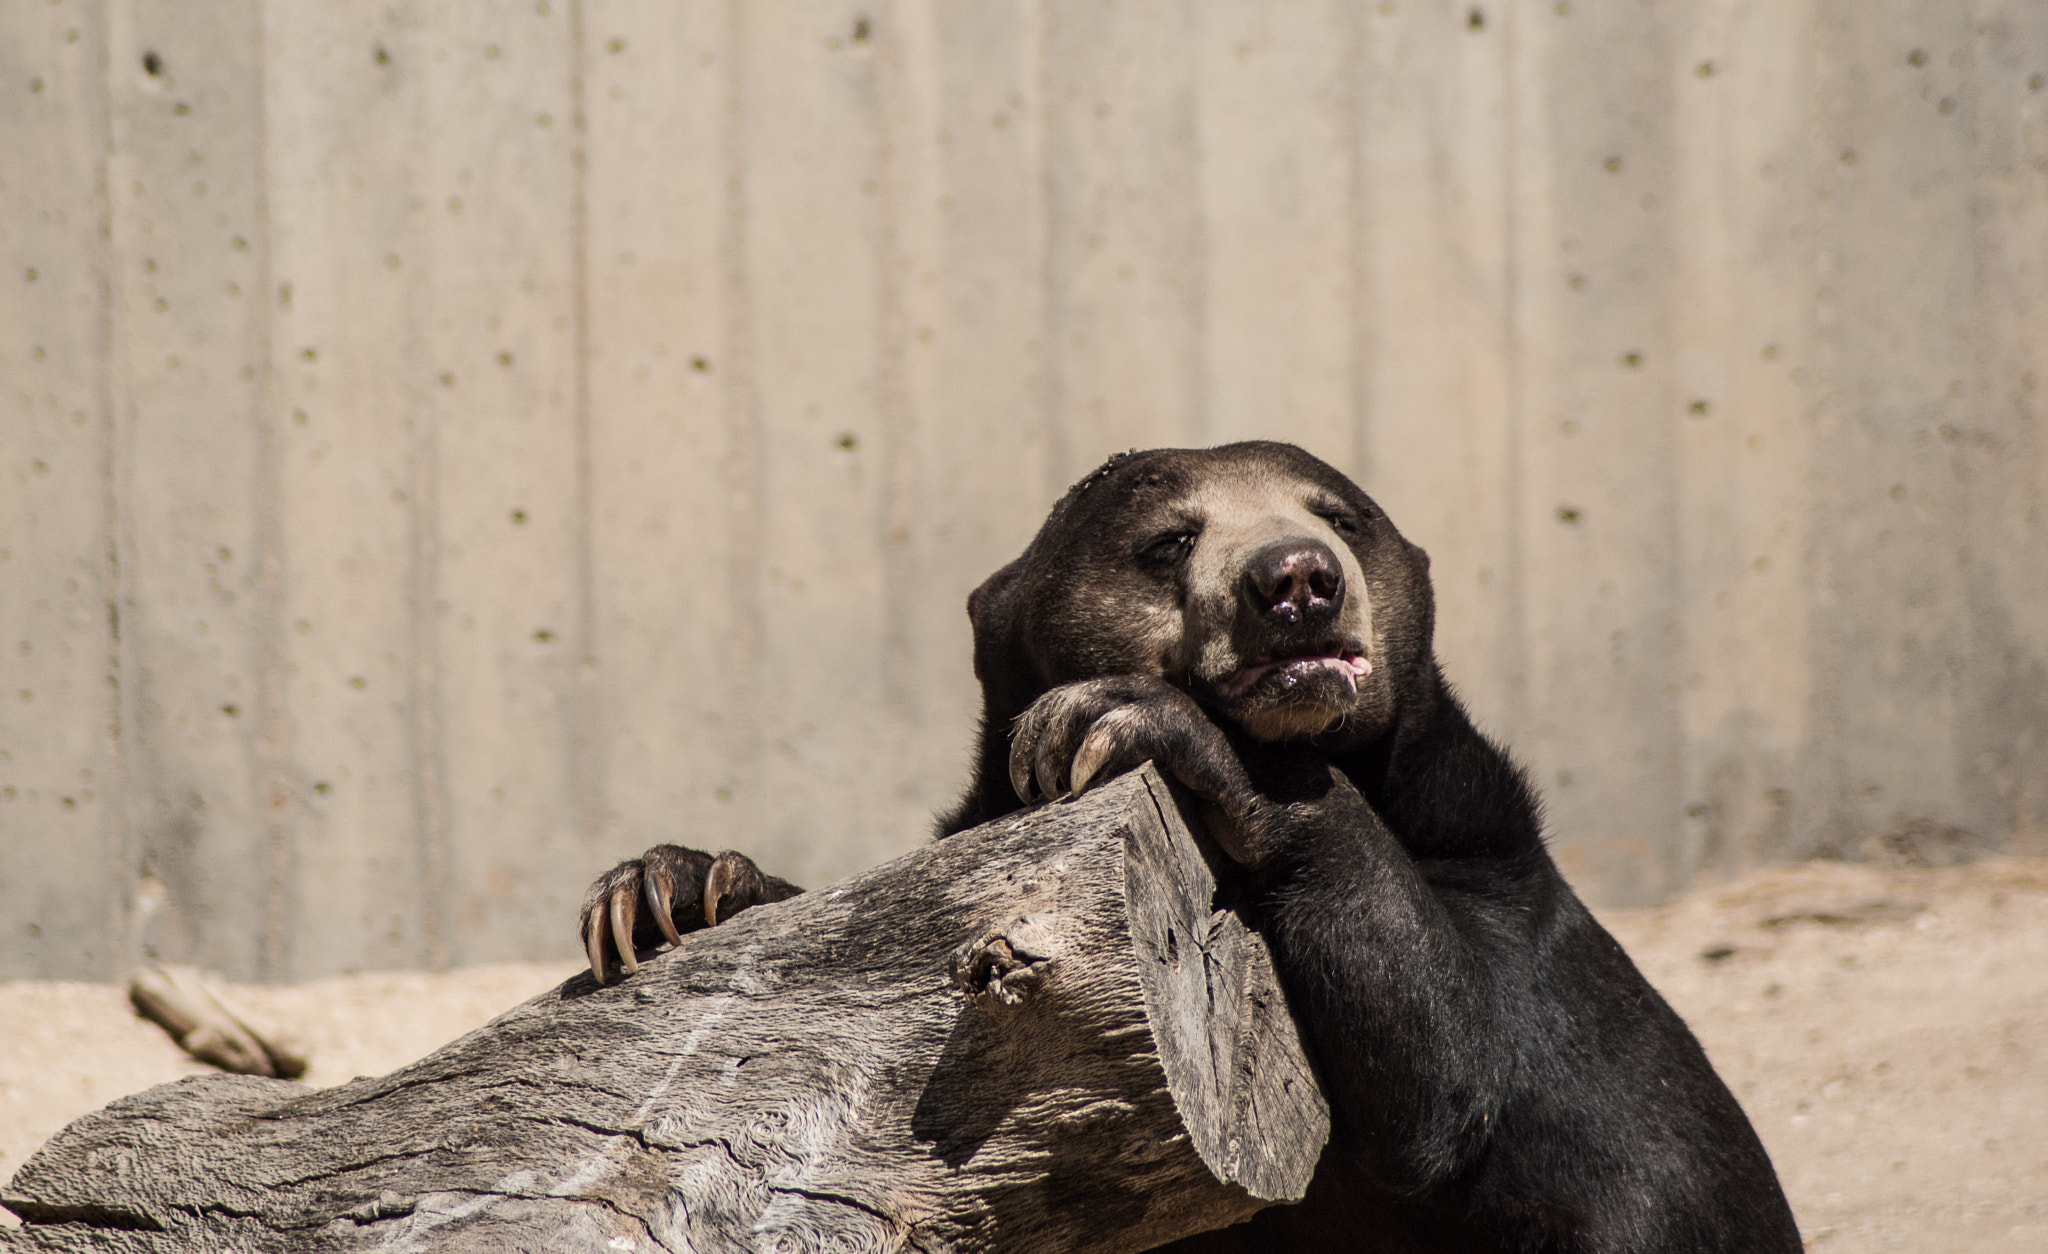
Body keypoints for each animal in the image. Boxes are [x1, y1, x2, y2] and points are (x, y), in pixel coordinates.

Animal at [580, 441, 1802, 1253]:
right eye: (1169, 541)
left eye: (1340, 517)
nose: (1298, 581)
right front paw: (675, 889)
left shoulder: (1489, 872)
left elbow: (1442, 1071)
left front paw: (1133, 719)